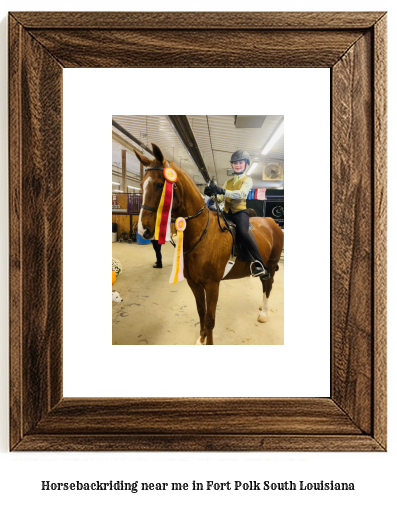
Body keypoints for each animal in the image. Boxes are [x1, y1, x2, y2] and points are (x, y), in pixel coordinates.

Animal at [135, 145, 284, 348]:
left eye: (159, 185)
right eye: (142, 184)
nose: (144, 231)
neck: (201, 234)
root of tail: (271, 222)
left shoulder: (212, 285)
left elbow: (211, 318)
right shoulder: (194, 284)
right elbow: (201, 313)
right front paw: (200, 339)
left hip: (271, 264)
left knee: (268, 285)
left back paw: (263, 313)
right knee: (264, 284)